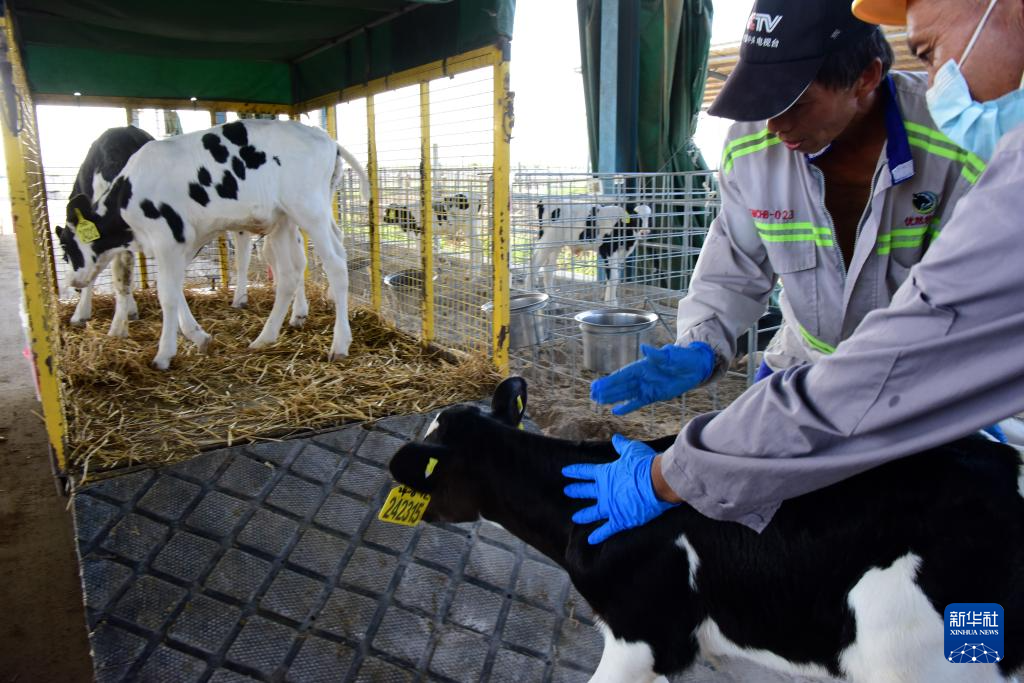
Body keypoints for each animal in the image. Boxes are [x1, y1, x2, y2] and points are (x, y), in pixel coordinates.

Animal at [55, 120, 368, 370]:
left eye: (66, 249)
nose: (73, 282)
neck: (128, 194)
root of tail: (326, 138)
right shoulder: (181, 243)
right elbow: (175, 289)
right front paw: (197, 335)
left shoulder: (168, 238)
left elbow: (167, 295)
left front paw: (164, 354)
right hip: (282, 219)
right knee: (291, 274)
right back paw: (265, 337)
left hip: (308, 209)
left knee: (336, 264)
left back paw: (340, 344)